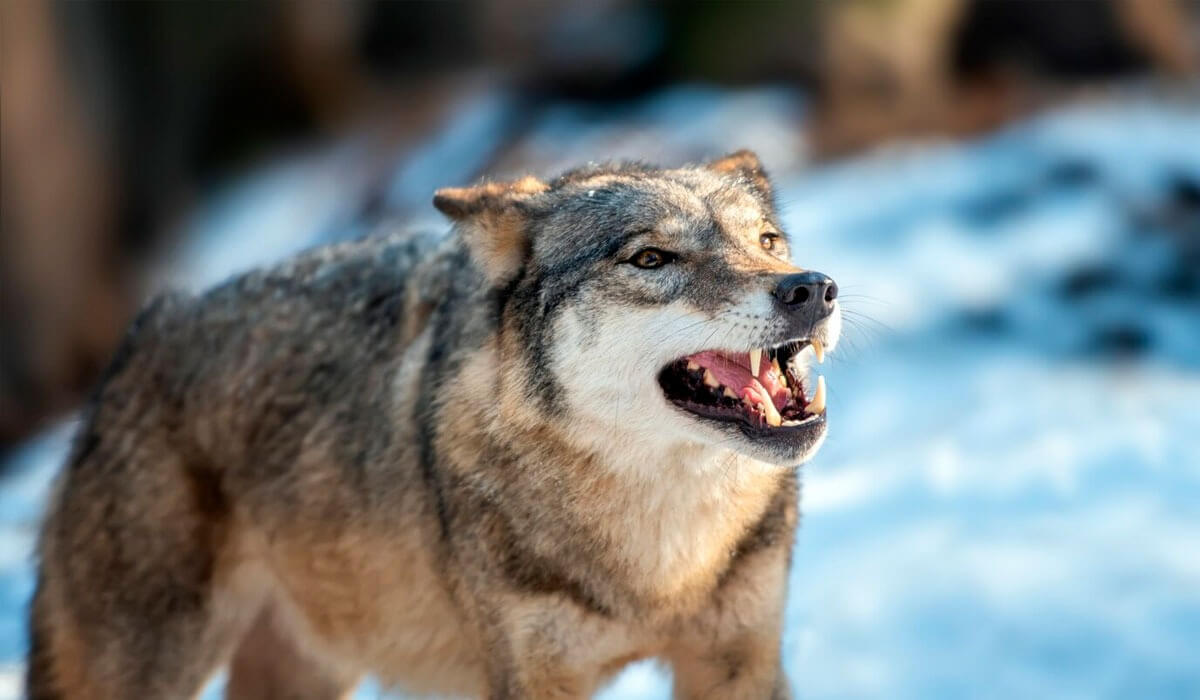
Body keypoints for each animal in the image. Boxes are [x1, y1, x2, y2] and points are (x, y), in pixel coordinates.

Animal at [23, 150, 840, 696]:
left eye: (766, 241)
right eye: (650, 258)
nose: (813, 288)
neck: (662, 563)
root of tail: (136, 343)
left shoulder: (740, 660)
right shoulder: (534, 677)